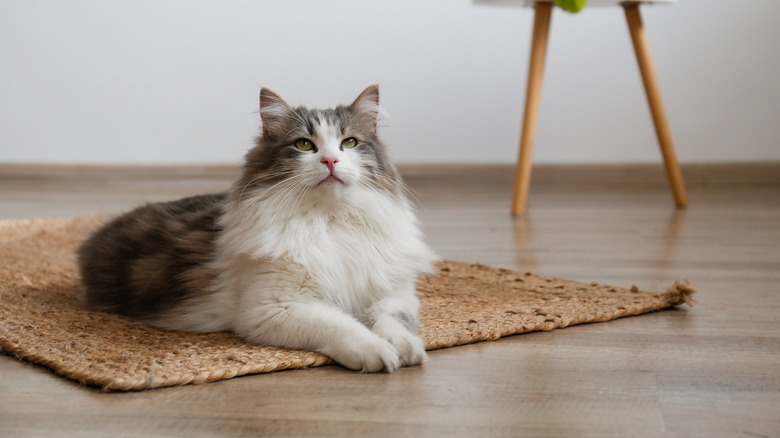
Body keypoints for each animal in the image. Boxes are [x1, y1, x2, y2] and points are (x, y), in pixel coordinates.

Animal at [78, 85, 438, 372]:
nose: (331, 161)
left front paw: (407, 349)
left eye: (349, 143)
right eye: (304, 145)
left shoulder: (395, 295)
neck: (329, 221)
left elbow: (391, 322)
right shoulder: (274, 309)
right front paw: (376, 352)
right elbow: (342, 326)